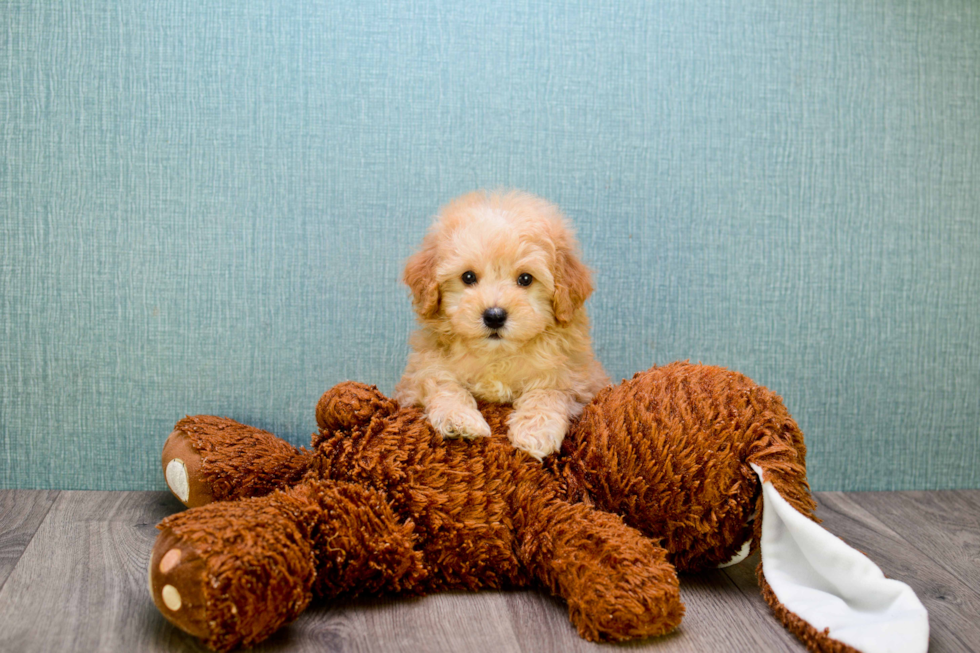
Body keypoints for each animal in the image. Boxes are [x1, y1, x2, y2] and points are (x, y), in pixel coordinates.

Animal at [394, 190, 608, 458]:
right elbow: (441, 383)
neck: (497, 356)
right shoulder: (417, 377)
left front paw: (535, 432)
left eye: (525, 279)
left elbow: (549, 392)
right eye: (468, 277)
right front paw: (459, 419)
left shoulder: (577, 379)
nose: (494, 316)